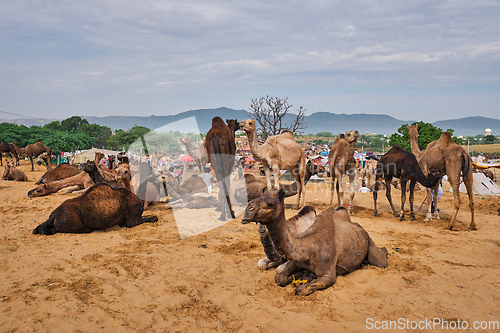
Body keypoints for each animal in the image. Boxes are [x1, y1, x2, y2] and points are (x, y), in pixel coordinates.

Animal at [241, 188, 386, 294]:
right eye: (259, 196)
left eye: (271, 203)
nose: (248, 209)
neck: (309, 246)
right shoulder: (295, 261)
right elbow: (279, 278)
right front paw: (299, 276)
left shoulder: (328, 275)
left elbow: (300, 290)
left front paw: (303, 279)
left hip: (371, 246)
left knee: (380, 260)